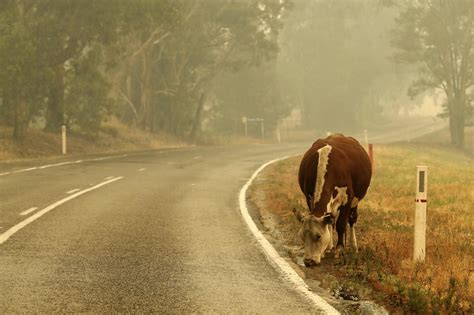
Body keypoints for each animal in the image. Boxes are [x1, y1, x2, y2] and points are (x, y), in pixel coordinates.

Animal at [290, 135, 372, 268]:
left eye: (318, 236)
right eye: (301, 236)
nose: (308, 261)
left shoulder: (348, 200)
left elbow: (341, 224)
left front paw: (340, 249)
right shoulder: (309, 198)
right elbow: (330, 225)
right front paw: (326, 250)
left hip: (356, 201)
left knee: (352, 220)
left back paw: (353, 245)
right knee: (331, 222)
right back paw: (330, 247)